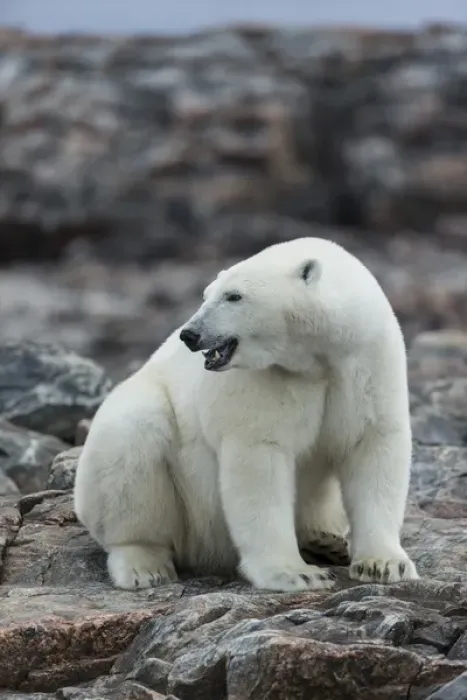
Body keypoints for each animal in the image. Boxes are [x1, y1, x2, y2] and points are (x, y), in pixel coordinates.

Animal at [74, 237, 418, 592]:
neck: (319, 356)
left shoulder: (367, 361)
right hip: (176, 496)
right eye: (206, 294)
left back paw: (324, 541)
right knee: (132, 442)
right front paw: (297, 573)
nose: (190, 334)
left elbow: (372, 447)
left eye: (234, 296)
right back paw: (144, 565)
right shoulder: (266, 380)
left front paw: (385, 565)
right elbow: (260, 460)